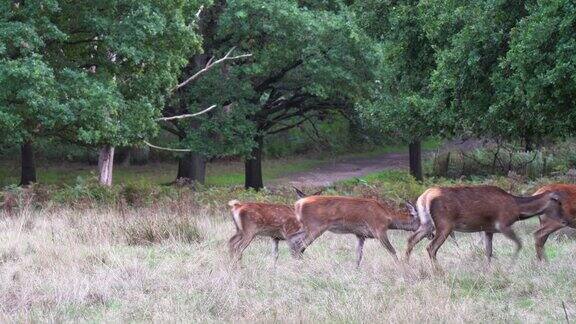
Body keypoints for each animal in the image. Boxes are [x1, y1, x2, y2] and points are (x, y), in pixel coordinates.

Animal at [408, 185, 568, 268]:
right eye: (559, 202)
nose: (565, 221)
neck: (517, 210)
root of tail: (424, 197)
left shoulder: (488, 229)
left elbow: (488, 251)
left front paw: (488, 270)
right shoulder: (503, 223)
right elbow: (519, 243)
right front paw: (510, 265)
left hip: (427, 224)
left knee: (411, 239)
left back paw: (406, 266)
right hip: (444, 224)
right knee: (431, 247)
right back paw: (439, 272)